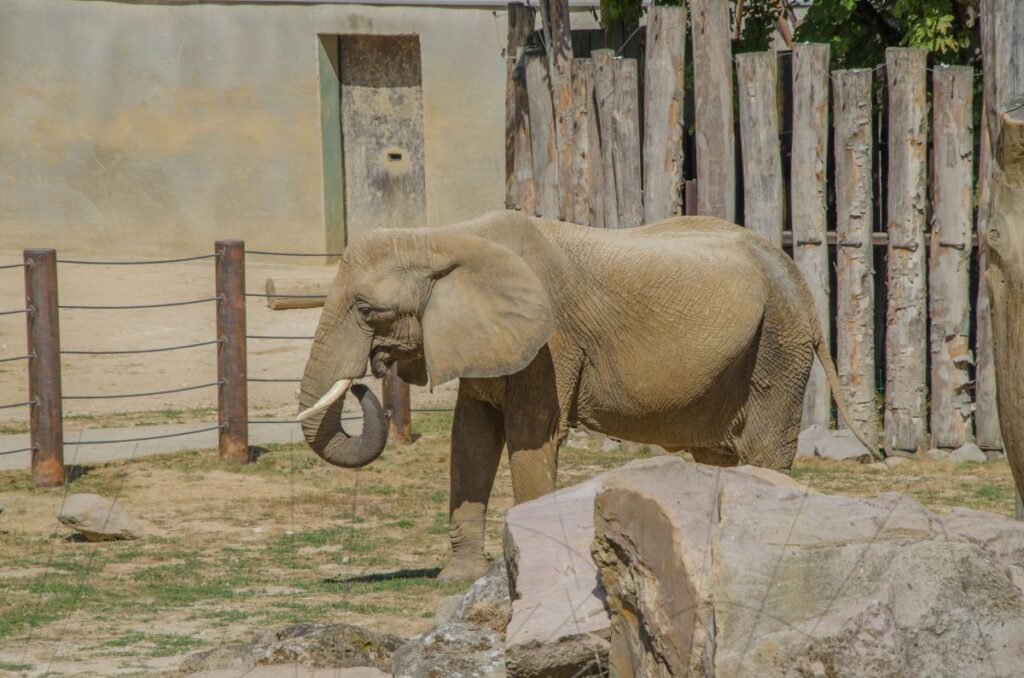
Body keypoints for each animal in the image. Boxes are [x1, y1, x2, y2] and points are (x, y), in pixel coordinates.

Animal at [296, 210, 872, 585]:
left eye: (368, 311)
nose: (368, 375)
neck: (445, 238)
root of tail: (797, 276)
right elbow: (472, 437)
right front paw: (457, 579)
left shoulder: (551, 343)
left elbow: (530, 438)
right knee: (718, 455)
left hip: (779, 341)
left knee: (761, 451)